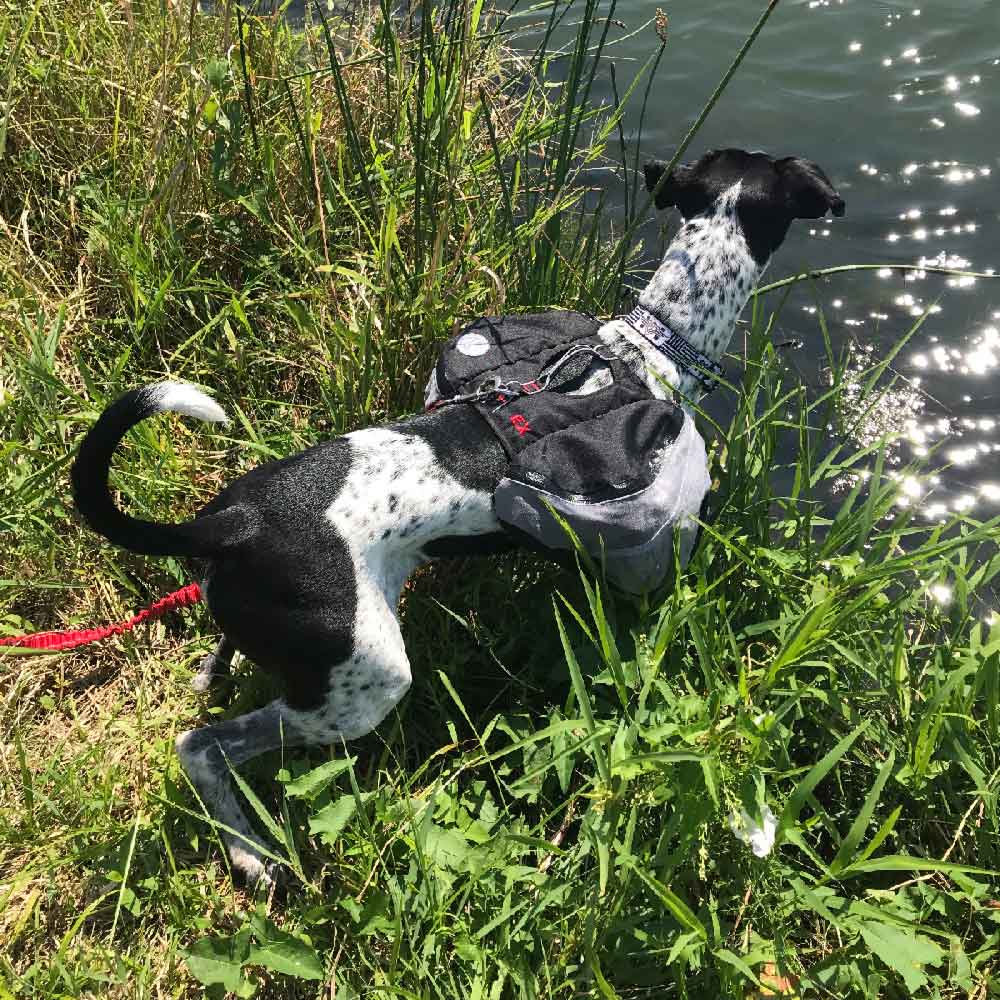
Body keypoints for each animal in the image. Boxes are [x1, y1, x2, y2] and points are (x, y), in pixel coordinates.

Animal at [72, 148, 844, 884]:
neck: (648, 348)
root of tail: (235, 522)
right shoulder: (651, 562)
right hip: (364, 687)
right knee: (202, 748)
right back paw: (249, 854)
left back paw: (213, 680)